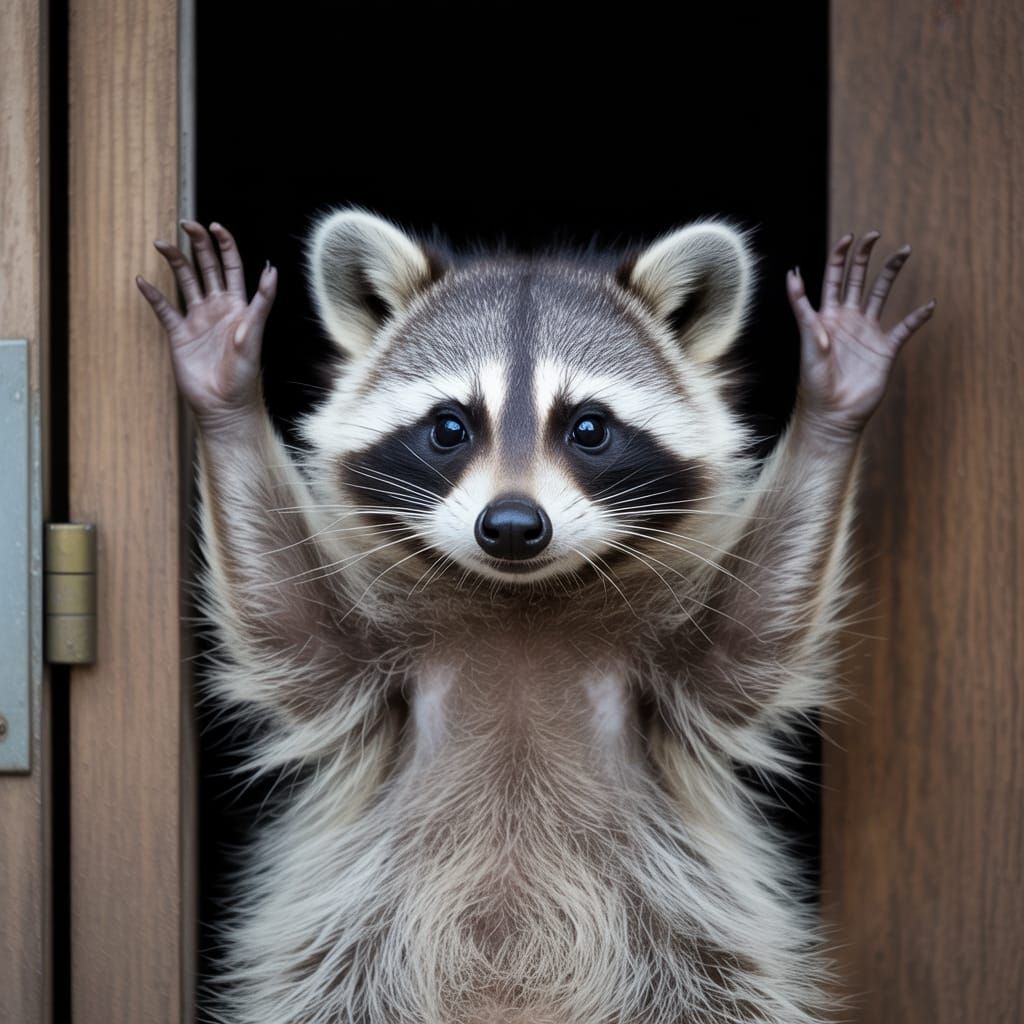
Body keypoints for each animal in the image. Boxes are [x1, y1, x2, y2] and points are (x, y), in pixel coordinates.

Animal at [138, 213, 934, 1024]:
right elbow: (292, 626)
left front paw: (834, 405)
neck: (520, 602)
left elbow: (747, 643)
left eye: (589, 428)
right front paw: (226, 394)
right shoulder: (370, 670)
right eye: (449, 427)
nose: (514, 526)